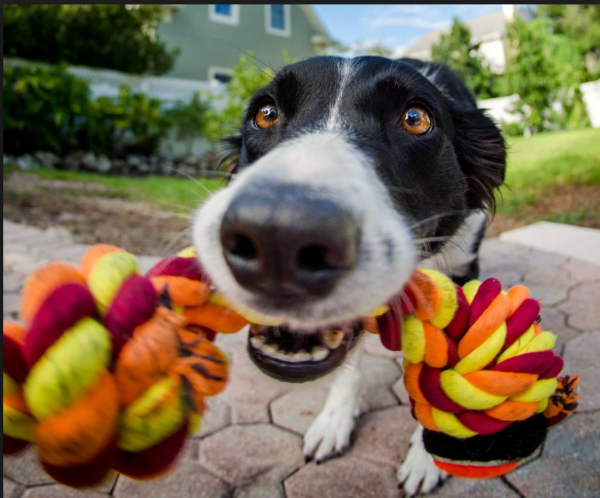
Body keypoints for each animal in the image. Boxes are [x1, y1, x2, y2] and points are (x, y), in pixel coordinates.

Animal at [195, 56, 504, 496]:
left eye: (415, 119)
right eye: (266, 113)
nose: (278, 235)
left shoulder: (459, 273)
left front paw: (428, 456)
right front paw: (334, 421)